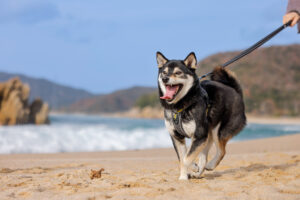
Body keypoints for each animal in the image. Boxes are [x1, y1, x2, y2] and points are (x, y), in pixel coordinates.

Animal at [157, 51, 246, 180]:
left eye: (178, 73)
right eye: (164, 72)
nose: (165, 78)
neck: (179, 106)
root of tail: (235, 90)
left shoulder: (199, 135)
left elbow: (186, 158)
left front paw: (190, 170)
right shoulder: (177, 137)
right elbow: (182, 157)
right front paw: (184, 176)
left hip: (218, 131)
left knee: (222, 151)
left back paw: (210, 165)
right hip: (207, 135)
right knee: (204, 157)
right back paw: (198, 173)